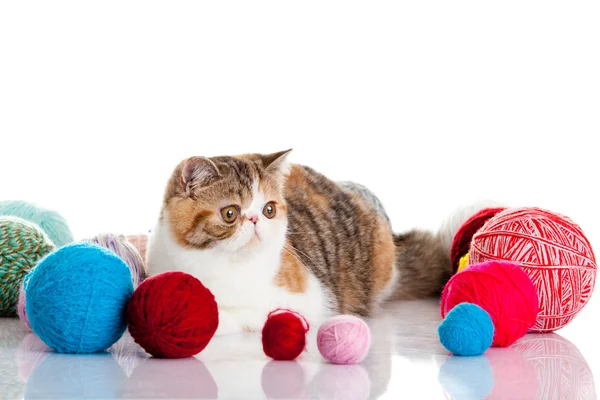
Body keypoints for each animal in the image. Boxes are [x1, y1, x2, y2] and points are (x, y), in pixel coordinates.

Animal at [146, 149, 478, 334]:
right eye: (230, 213)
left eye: (269, 210)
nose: (255, 222)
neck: (218, 264)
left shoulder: (309, 300)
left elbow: (243, 313)